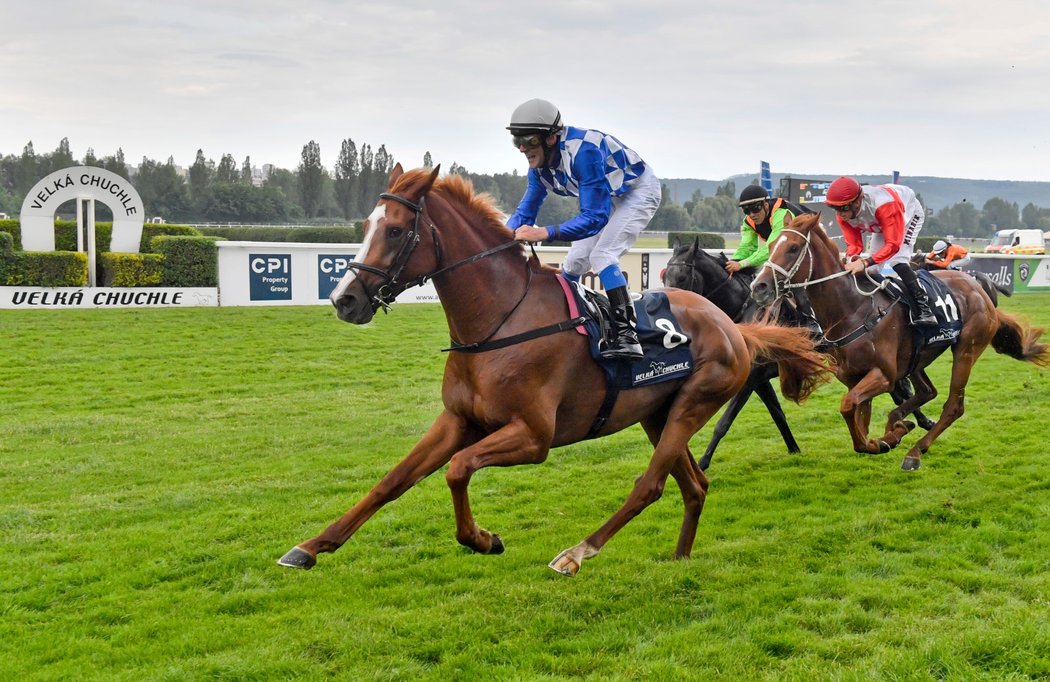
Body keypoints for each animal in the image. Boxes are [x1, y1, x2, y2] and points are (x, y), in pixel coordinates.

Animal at [277, 164, 827, 574]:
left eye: (394, 230)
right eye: (366, 227)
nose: (344, 299)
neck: (498, 321)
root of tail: (733, 326)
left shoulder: (534, 436)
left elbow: (458, 469)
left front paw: (483, 538)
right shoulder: (458, 420)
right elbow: (392, 480)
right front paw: (310, 547)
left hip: (694, 403)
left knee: (650, 484)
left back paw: (577, 553)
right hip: (657, 414)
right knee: (693, 485)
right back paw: (679, 558)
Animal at [751, 215, 1045, 470]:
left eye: (793, 248)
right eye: (770, 246)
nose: (759, 286)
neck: (852, 310)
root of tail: (979, 288)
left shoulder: (884, 375)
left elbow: (848, 408)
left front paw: (889, 438)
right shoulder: (854, 378)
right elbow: (859, 425)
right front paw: (888, 437)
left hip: (966, 350)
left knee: (953, 405)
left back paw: (915, 451)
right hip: (918, 358)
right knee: (927, 392)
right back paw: (900, 423)